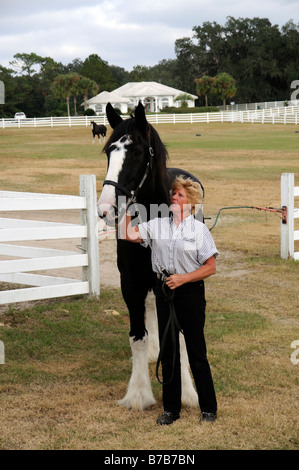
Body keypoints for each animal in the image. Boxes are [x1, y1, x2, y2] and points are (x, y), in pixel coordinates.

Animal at [98, 102, 204, 408]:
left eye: (136, 152)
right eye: (108, 151)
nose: (105, 210)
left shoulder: (176, 280)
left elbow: (179, 336)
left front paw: (187, 392)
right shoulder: (131, 284)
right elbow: (138, 336)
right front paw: (138, 394)